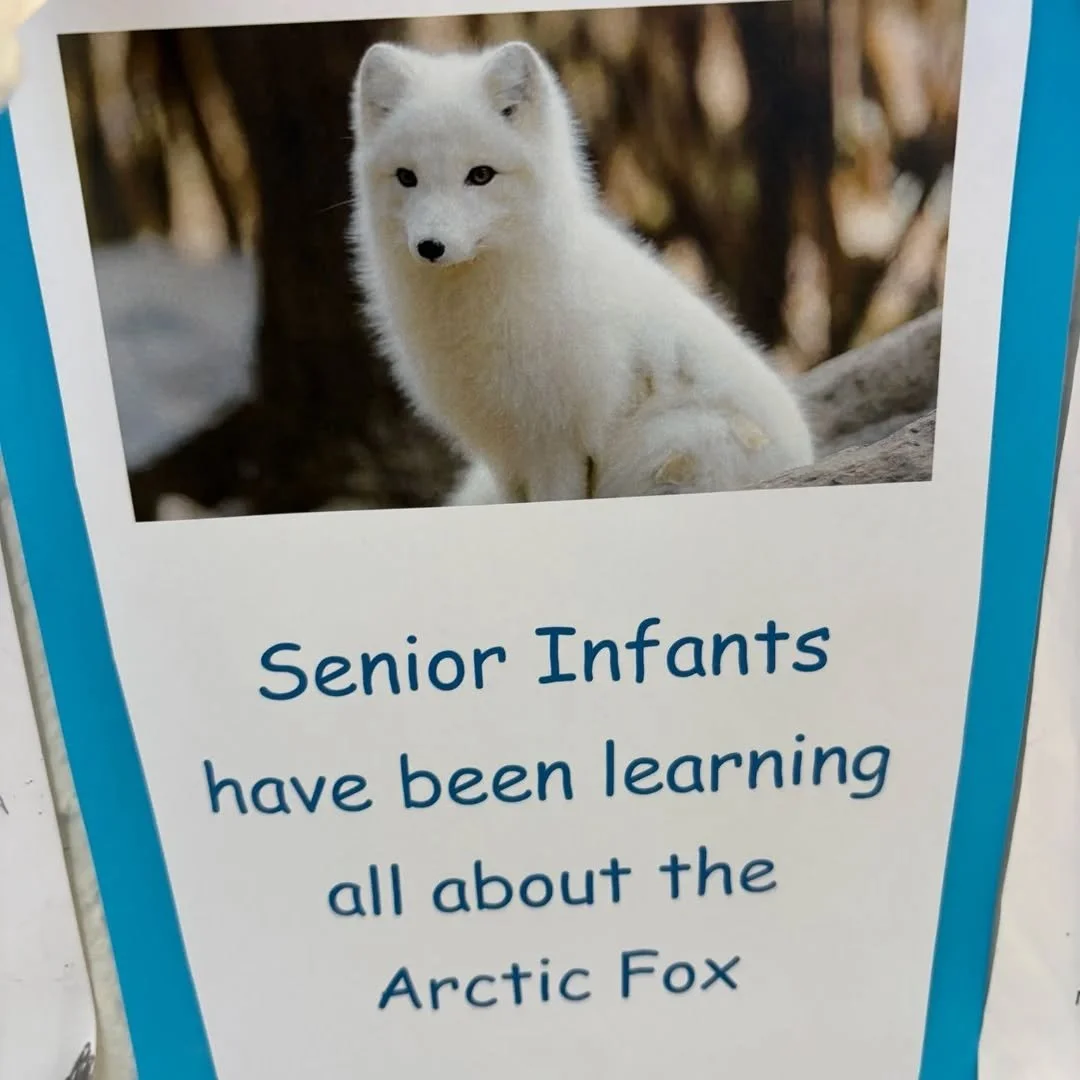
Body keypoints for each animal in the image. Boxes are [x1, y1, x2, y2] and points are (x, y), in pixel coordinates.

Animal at [347, 39, 814, 506]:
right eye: (406, 177)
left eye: (480, 175)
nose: (431, 247)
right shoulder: (506, 454)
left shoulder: (558, 443)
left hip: (670, 444)